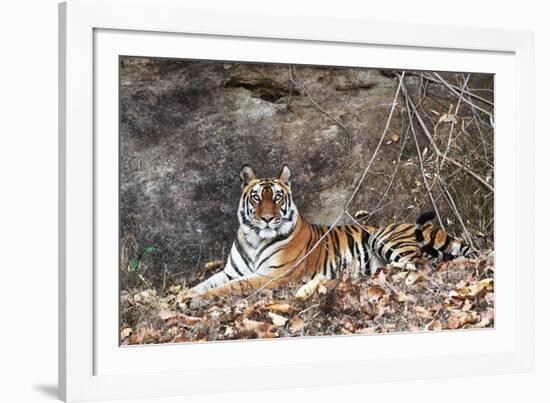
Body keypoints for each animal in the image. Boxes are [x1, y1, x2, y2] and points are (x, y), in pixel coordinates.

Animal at [187, 163, 474, 300]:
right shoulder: (230, 271)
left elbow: (232, 287)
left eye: (277, 197)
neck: (254, 239)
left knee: (422, 265)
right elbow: (206, 282)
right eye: (257, 197)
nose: (267, 219)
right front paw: (188, 294)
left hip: (385, 239)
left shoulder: (273, 275)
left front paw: (200, 299)